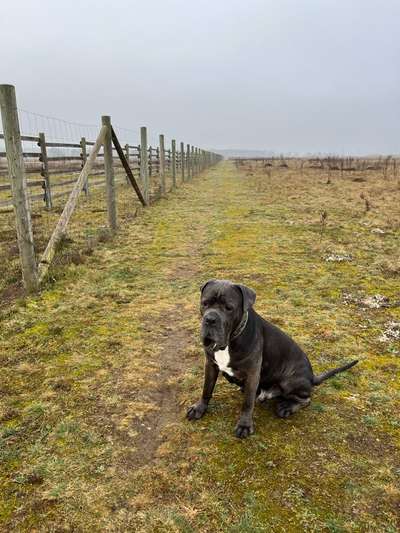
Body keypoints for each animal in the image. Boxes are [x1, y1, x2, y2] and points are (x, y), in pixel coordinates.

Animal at [186, 278, 358, 436]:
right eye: (205, 303)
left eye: (229, 308)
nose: (210, 319)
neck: (229, 341)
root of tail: (312, 377)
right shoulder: (210, 365)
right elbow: (206, 389)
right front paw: (199, 408)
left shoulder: (252, 373)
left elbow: (247, 403)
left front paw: (244, 425)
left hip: (289, 380)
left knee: (306, 399)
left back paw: (287, 407)